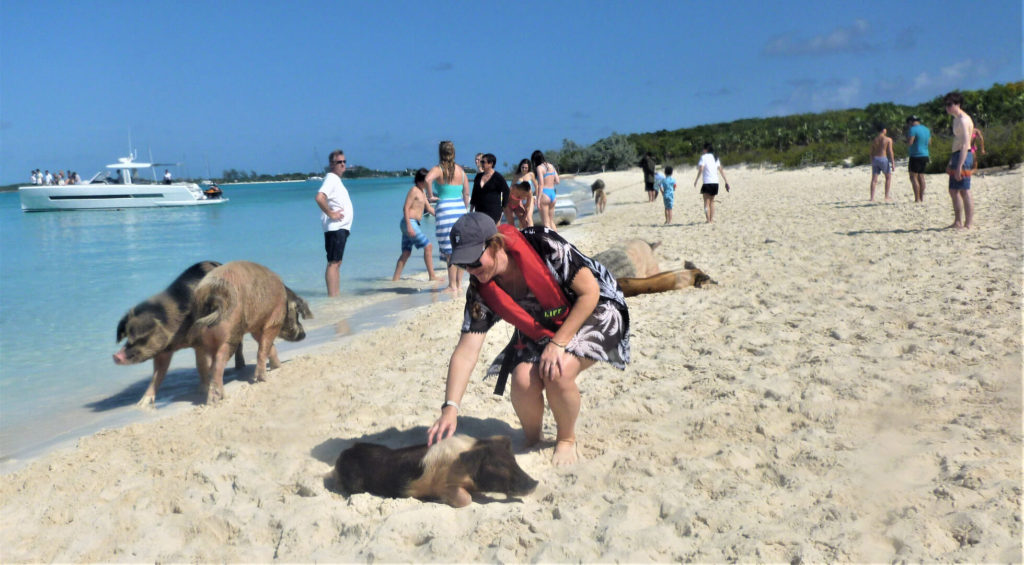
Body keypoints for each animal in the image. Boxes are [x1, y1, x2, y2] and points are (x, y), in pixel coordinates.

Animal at [114, 262, 245, 407]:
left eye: (140, 338)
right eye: (127, 337)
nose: (115, 356)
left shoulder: (200, 343)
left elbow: (201, 365)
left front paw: (202, 390)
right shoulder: (163, 352)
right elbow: (157, 375)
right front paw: (142, 404)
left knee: (238, 345)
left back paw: (239, 368)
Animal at [186, 259, 309, 401]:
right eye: (297, 314)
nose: (304, 334)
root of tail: (213, 296)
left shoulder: (256, 326)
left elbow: (267, 345)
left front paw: (278, 367)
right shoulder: (273, 320)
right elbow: (264, 346)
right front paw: (264, 377)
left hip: (201, 340)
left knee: (203, 364)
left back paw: (205, 394)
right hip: (231, 333)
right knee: (217, 363)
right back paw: (218, 398)